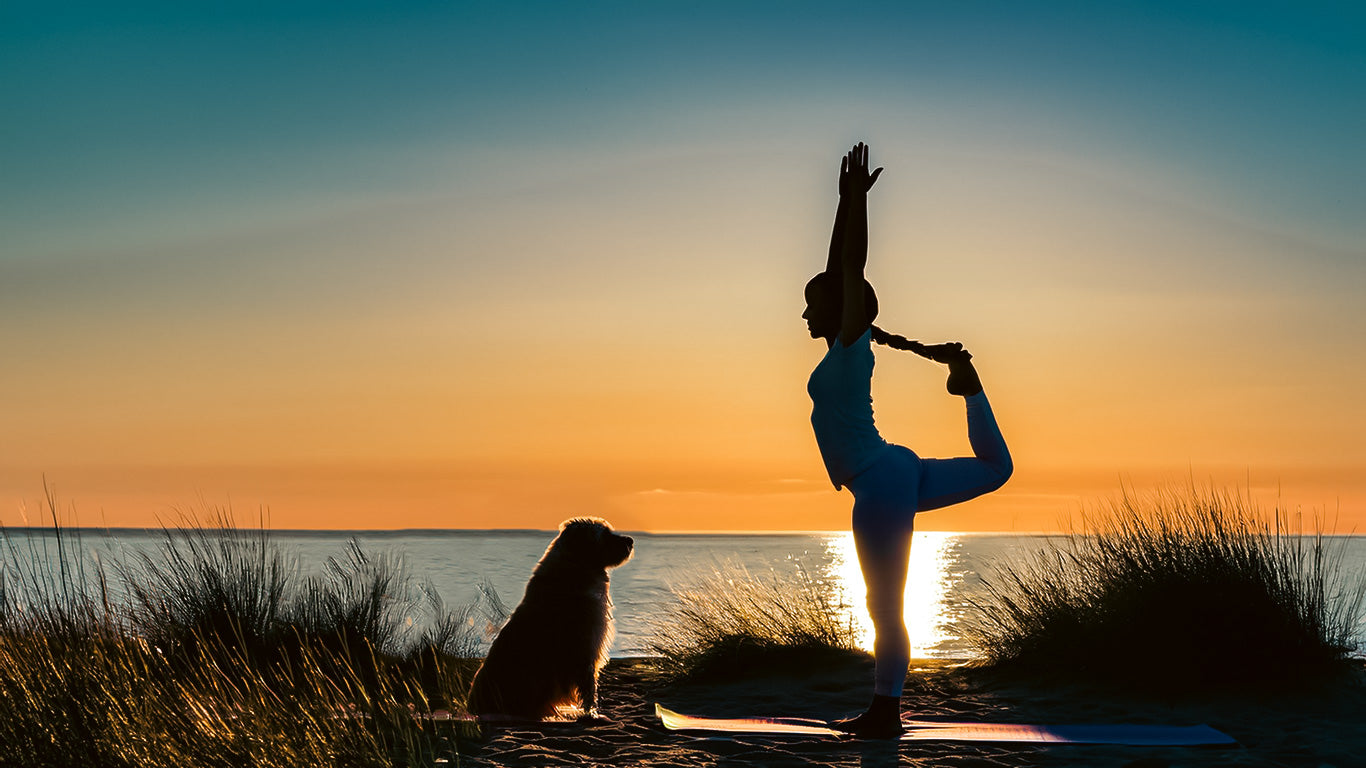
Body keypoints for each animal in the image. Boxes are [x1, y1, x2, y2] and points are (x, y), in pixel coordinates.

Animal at [467, 513, 636, 716]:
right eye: (604, 534)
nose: (631, 540)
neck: (575, 567)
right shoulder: (585, 647)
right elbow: (588, 688)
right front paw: (592, 713)